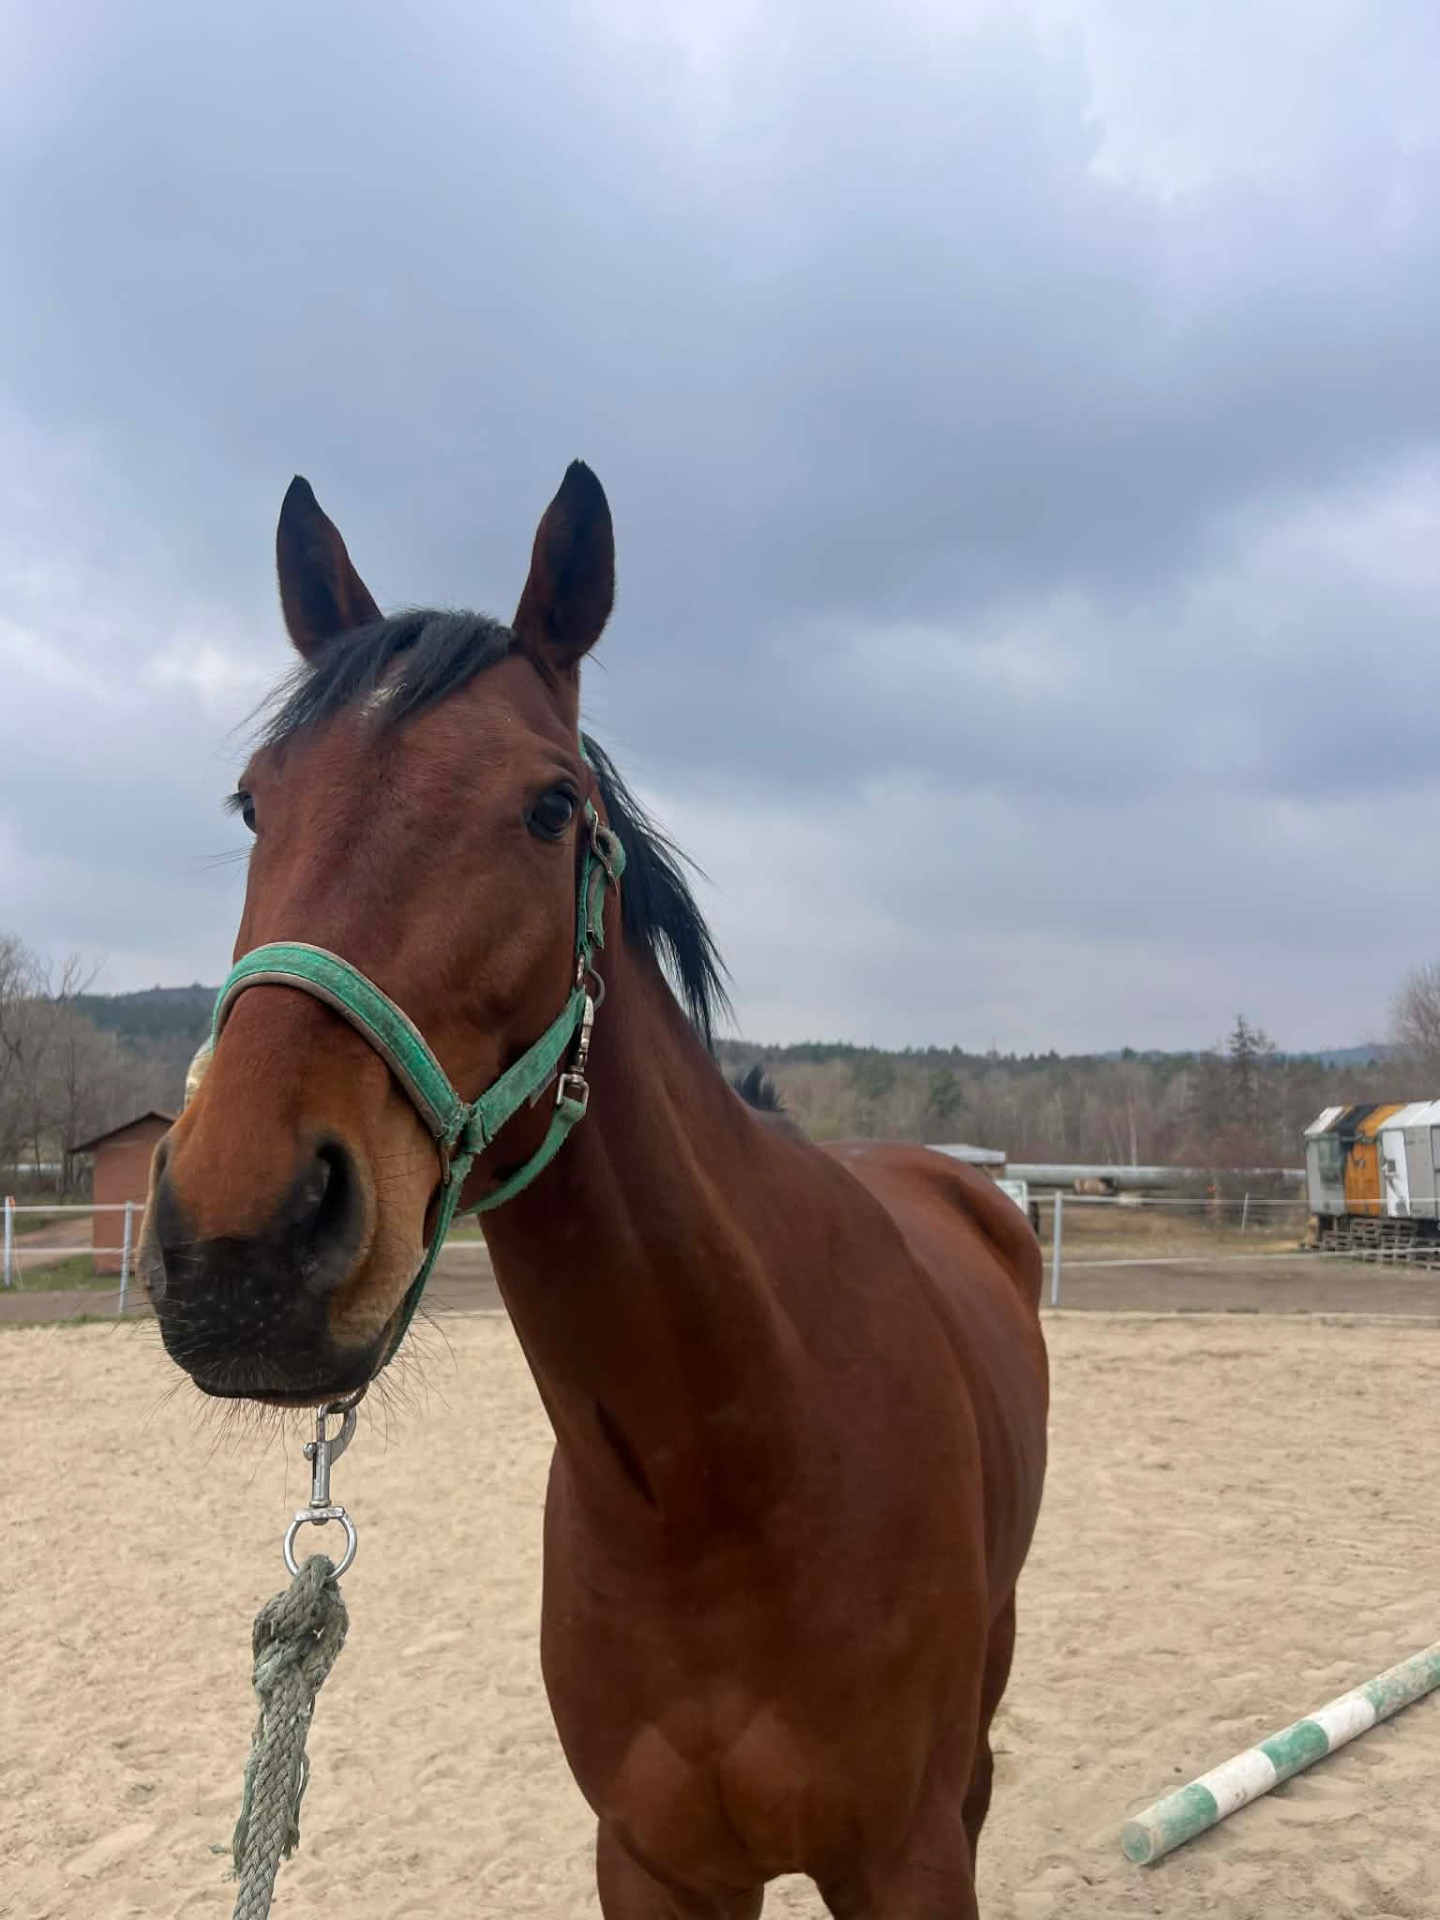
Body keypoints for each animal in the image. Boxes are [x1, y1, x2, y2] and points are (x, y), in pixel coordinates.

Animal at [142, 463, 1049, 1917]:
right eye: (253, 805)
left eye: (549, 806)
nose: (242, 1240)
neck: (718, 1480)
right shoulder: (651, 1860)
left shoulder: (904, 1857)